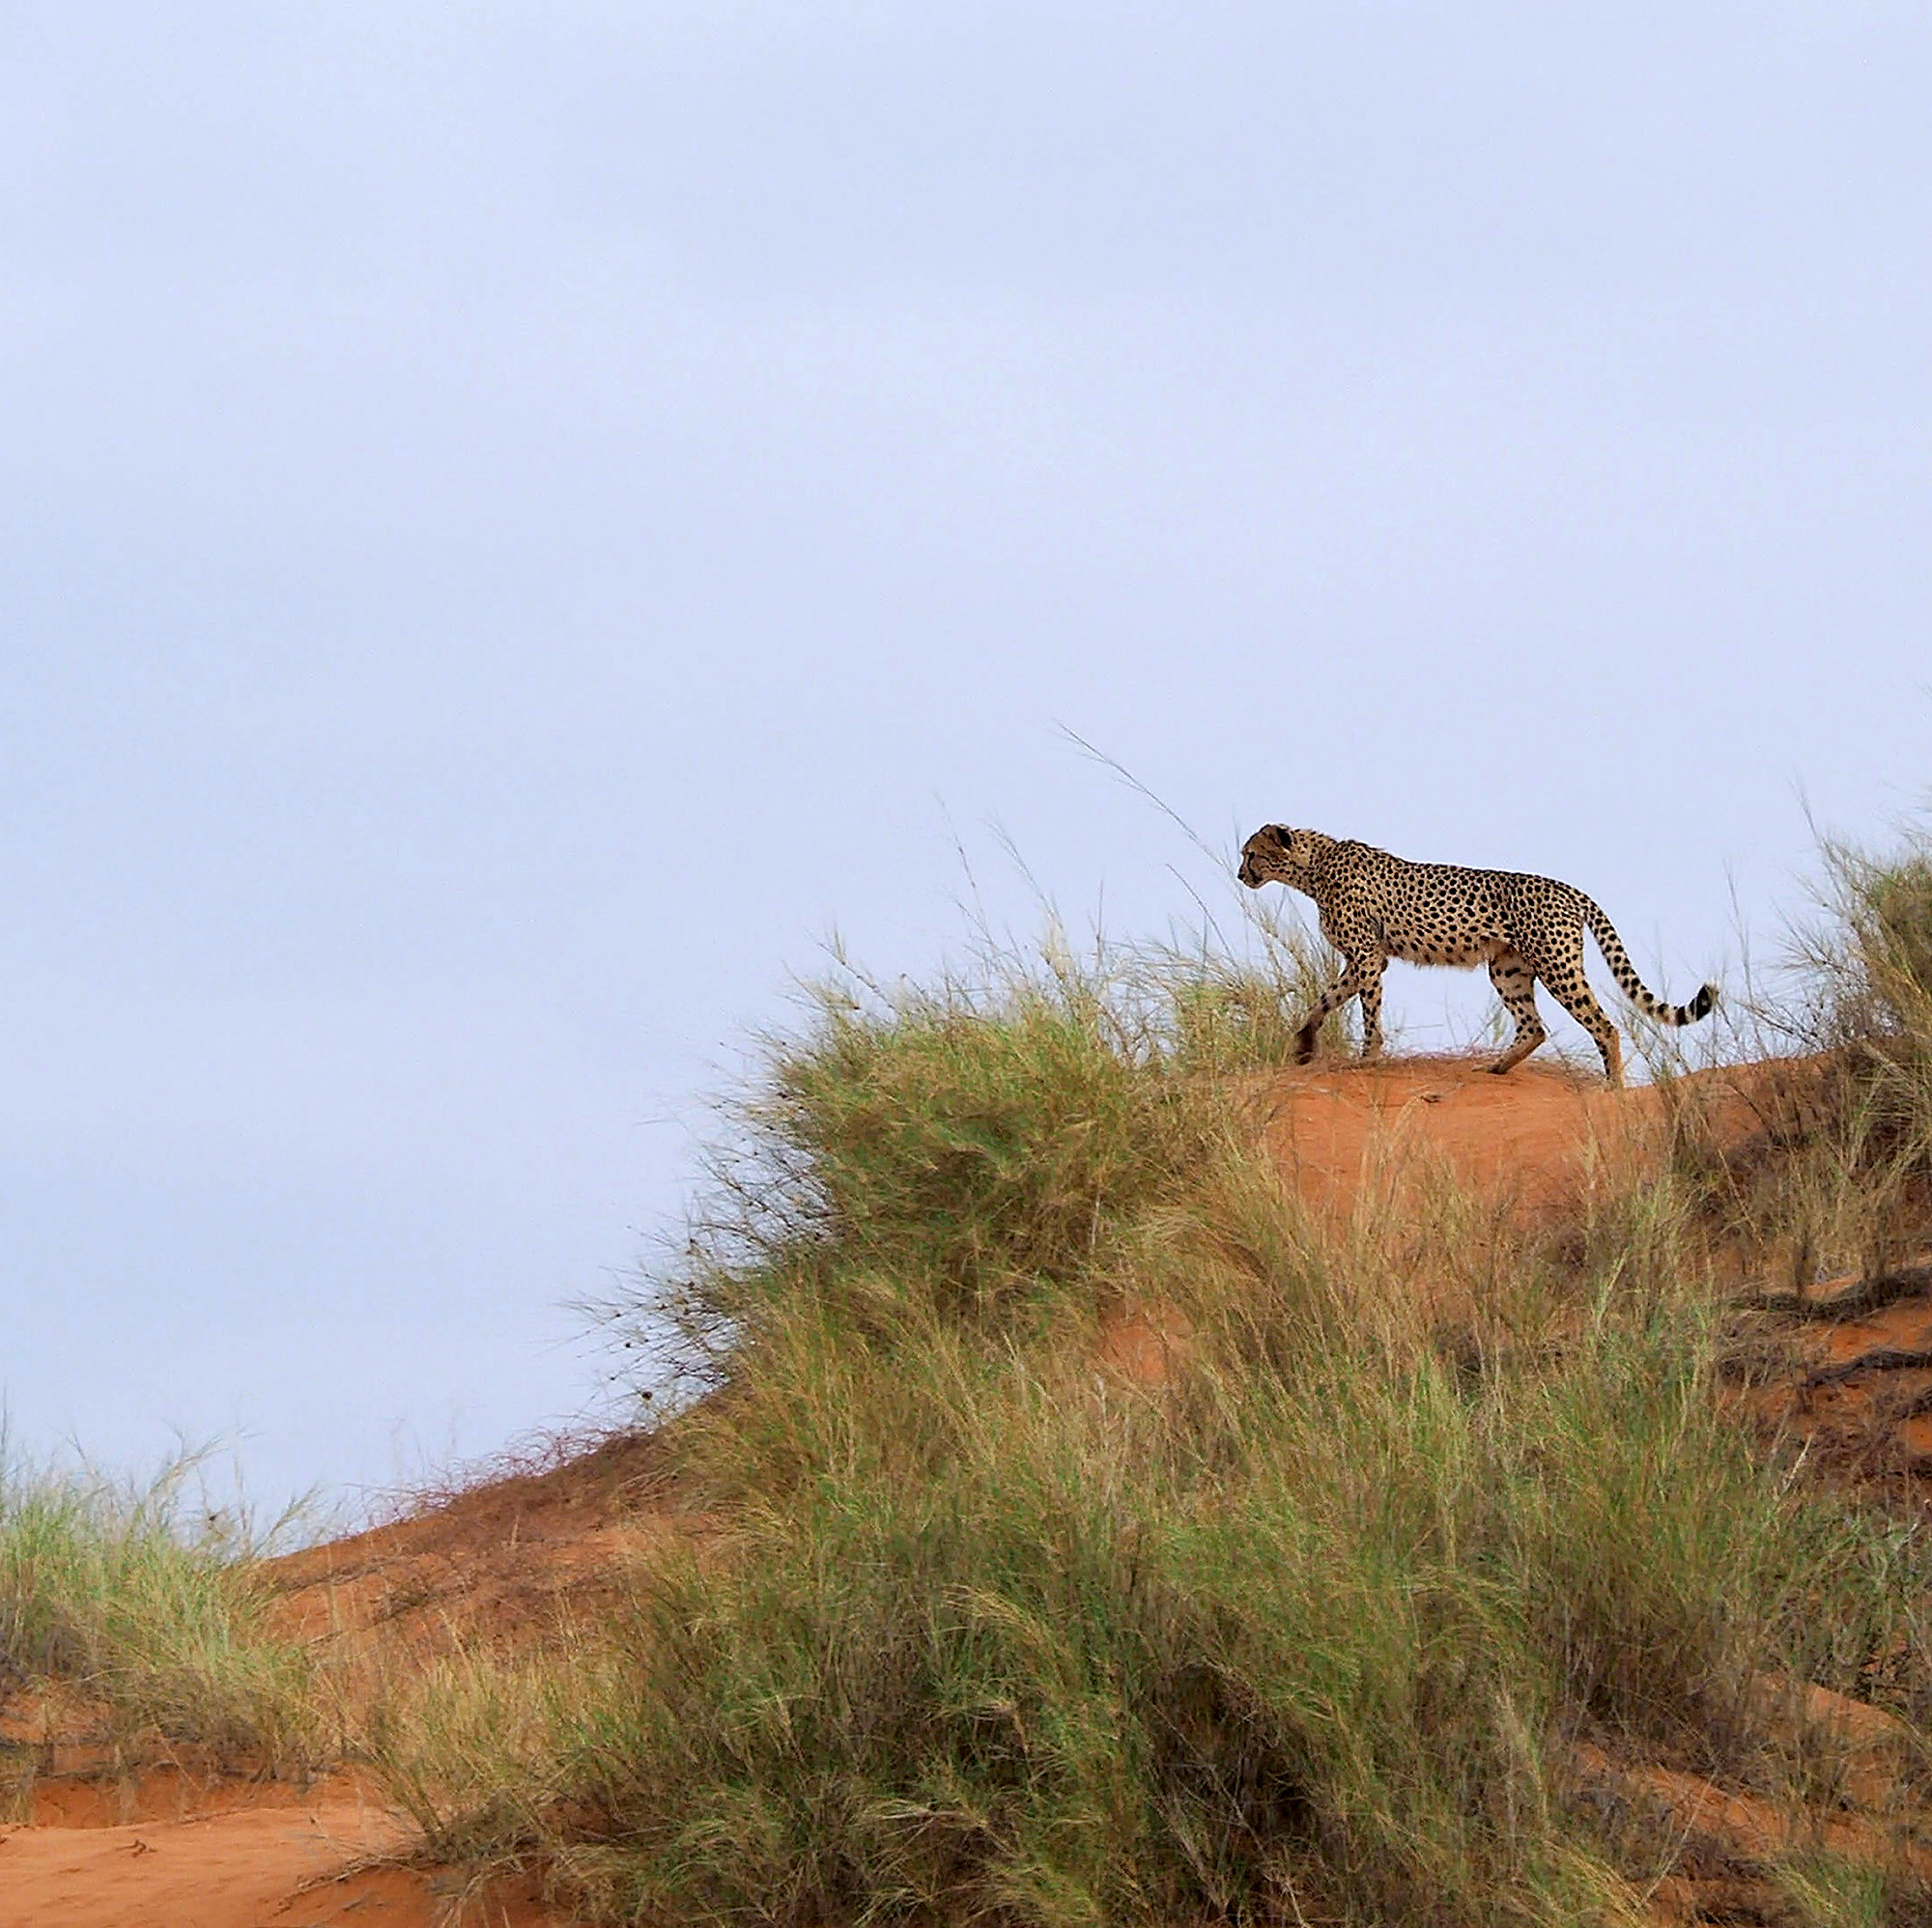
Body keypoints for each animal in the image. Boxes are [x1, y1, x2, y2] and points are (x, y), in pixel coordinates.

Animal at [1236, 827, 1723, 1097]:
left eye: (1251, 853)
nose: (1240, 874)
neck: (1314, 867)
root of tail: (1567, 888)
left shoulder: (1368, 958)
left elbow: (1366, 1011)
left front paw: (1366, 1059)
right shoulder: (1362, 960)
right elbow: (1324, 1000)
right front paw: (1304, 1044)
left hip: (1557, 966)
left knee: (1604, 1026)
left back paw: (1615, 1088)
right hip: (1508, 969)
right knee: (1534, 1026)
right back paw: (1495, 1068)